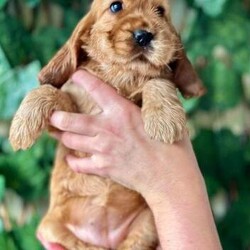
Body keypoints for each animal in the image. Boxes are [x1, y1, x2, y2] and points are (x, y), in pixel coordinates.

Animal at [9, 0, 205, 249]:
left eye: (160, 11)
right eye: (115, 6)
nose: (144, 36)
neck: (122, 74)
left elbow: (157, 80)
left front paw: (164, 119)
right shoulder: (68, 120)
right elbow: (48, 91)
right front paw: (20, 128)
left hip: (147, 222)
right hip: (52, 226)